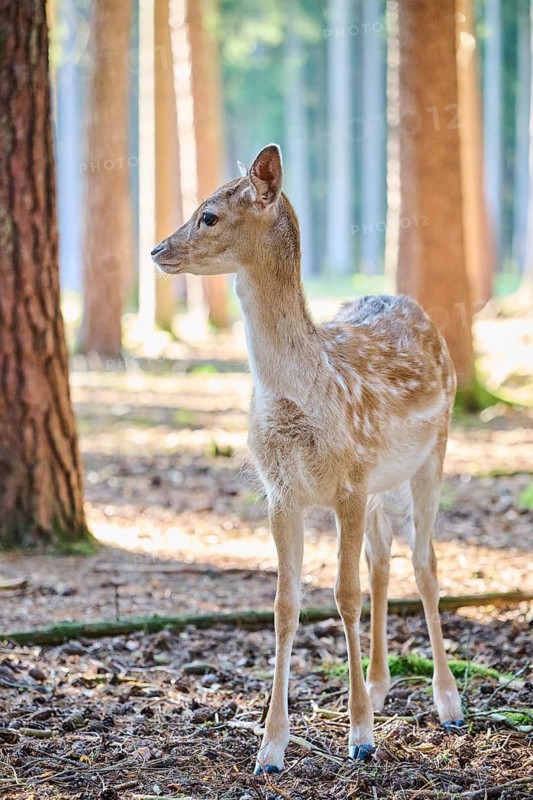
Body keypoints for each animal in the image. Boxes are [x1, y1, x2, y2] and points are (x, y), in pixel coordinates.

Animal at [151, 144, 465, 774]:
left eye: (209, 215)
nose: (157, 250)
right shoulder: (282, 492)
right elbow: (284, 605)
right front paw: (270, 748)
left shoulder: (348, 484)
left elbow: (343, 596)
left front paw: (361, 736)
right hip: (381, 481)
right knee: (381, 561)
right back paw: (381, 685)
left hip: (433, 451)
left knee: (424, 563)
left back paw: (447, 702)